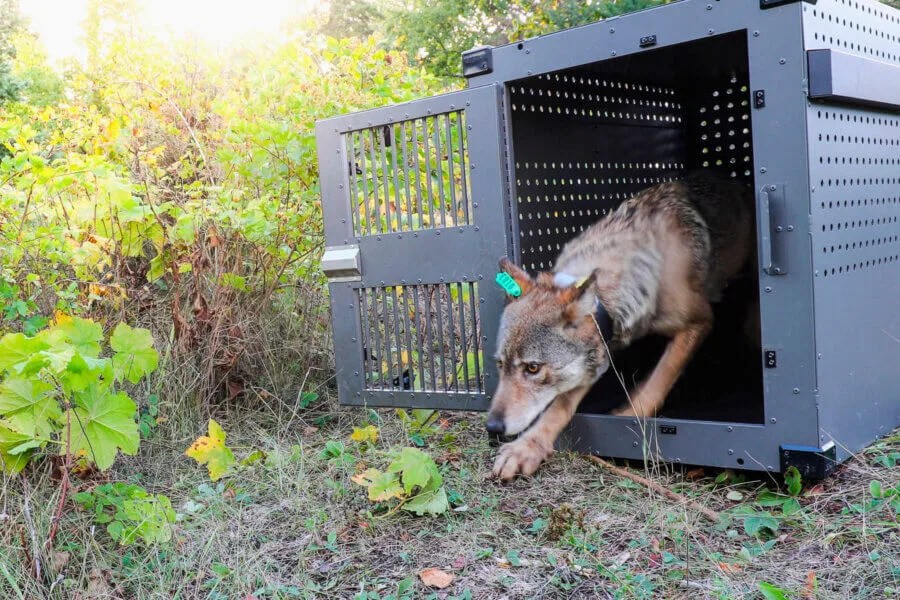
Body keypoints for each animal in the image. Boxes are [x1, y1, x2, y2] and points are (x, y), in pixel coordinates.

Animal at [487, 171, 755, 480]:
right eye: (500, 365)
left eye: (532, 368)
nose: (492, 427)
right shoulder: (598, 352)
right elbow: (560, 405)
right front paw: (527, 448)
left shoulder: (699, 320)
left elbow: (661, 376)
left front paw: (629, 416)